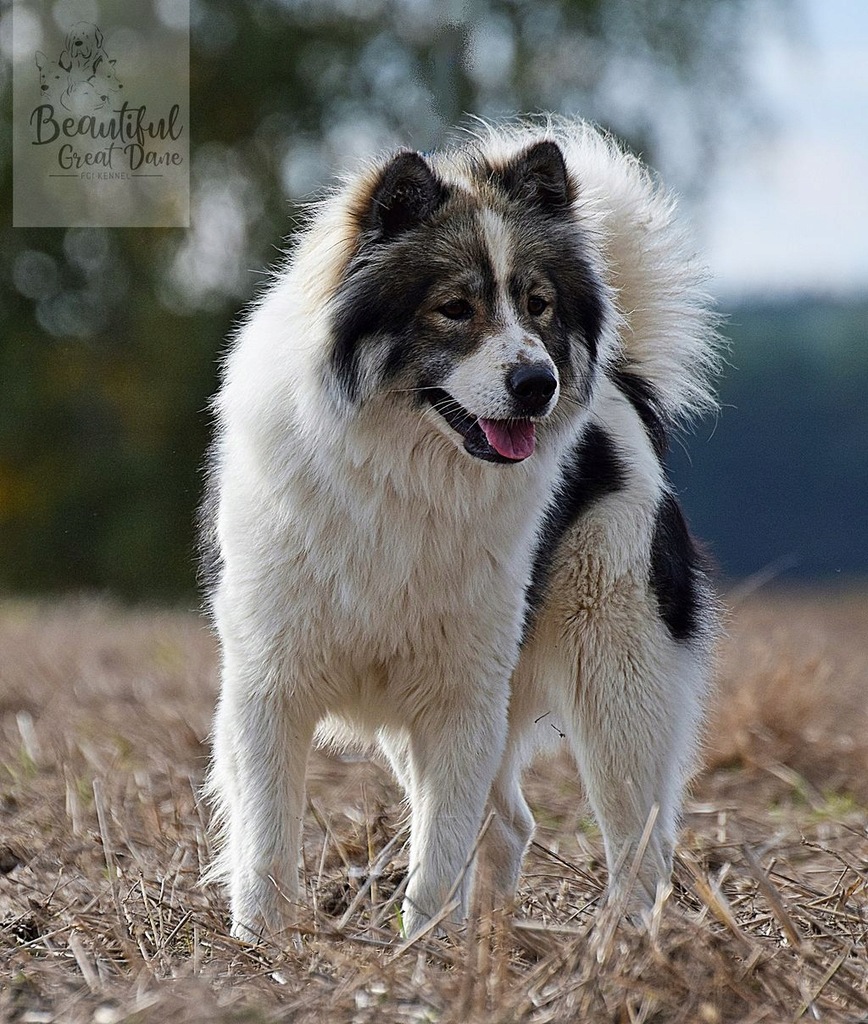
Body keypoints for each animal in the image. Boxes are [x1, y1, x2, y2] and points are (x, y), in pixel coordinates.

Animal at [201, 116, 720, 937]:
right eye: (454, 308)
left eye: (538, 304)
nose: (538, 384)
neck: (405, 474)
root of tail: (625, 386)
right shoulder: (268, 690)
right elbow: (266, 847)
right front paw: (262, 948)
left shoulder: (460, 698)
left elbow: (439, 855)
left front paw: (419, 953)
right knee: (514, 822)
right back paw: (498, 936)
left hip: (618, 690)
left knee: (641, 849)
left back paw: (621, 950)